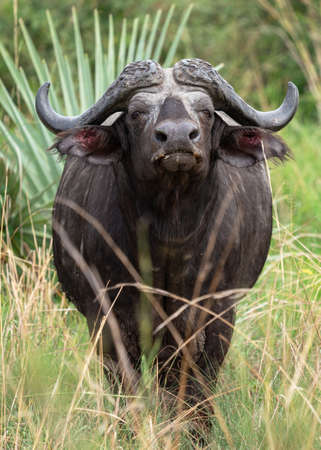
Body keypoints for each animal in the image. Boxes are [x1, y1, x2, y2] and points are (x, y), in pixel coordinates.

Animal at [35, 59, 298, 398]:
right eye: (136, 113)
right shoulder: (108, 321)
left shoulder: (215, 319)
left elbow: (192, 391)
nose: (178, 138)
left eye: (206, 111)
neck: (169, 239)